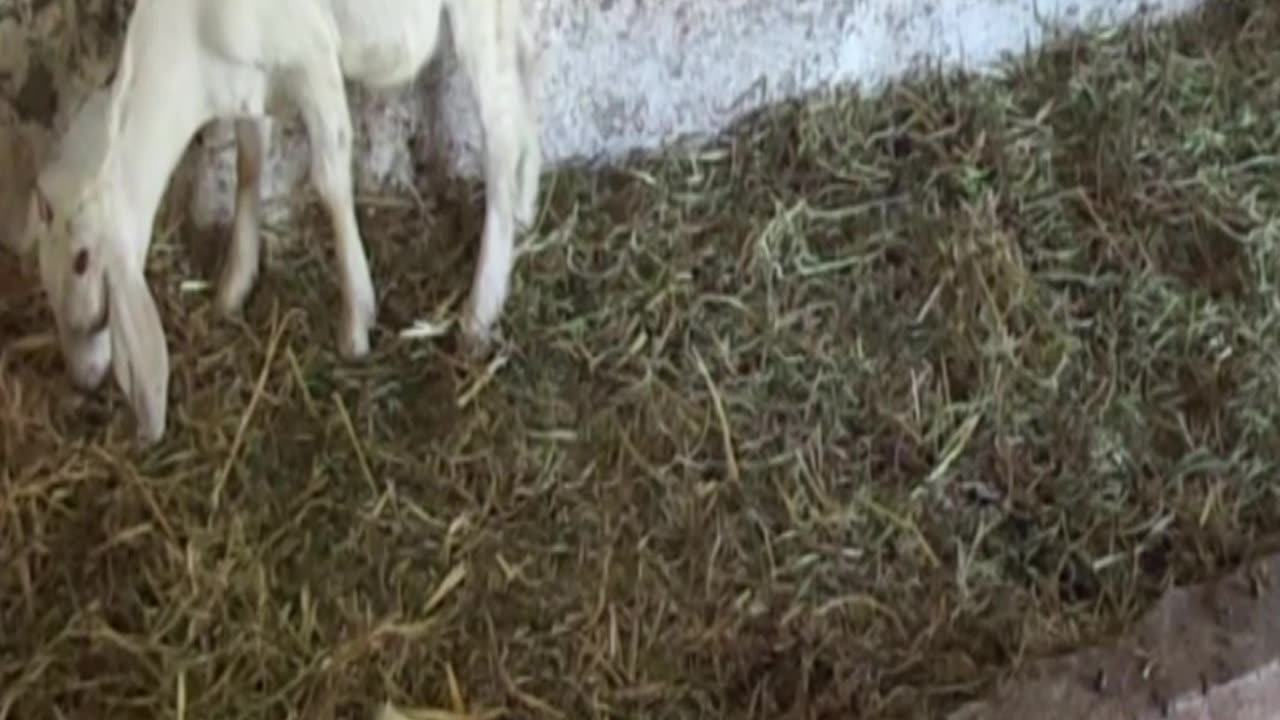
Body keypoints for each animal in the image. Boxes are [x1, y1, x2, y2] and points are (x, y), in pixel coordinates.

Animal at [21, 0, 543, 444]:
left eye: (83, 261)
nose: (82, 379)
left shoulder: (312, 58)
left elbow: (331, 181)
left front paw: (356, 322)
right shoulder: (251, 84)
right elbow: (249, 164)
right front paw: (234, 285)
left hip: (480, 16)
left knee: (500, 137)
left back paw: (480, 311)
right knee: (523, 80)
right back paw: (523, 210)